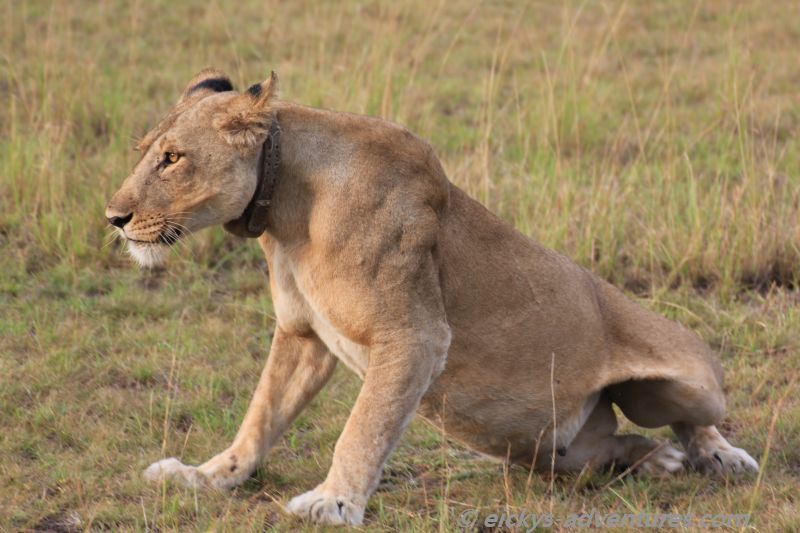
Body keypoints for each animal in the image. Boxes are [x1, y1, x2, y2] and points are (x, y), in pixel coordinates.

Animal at [106, 69, 759, 526]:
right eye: (144, 151)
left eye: (172, 158)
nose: (114, 217)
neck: (286, 209)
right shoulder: (302, 333)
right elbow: (260, 416)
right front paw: (206, 476)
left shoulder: (414, 335)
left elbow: (363, 427)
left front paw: (332, 503)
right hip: (560, 455)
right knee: (617, 447)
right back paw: (657, 461)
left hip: (685, 381)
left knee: (692, 420)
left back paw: (717, 458)